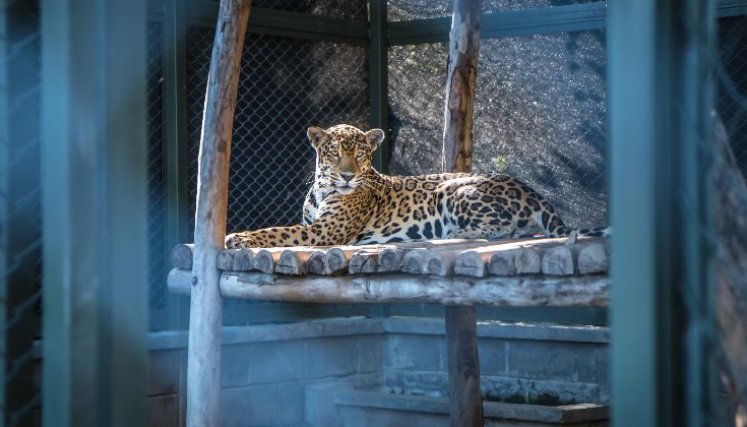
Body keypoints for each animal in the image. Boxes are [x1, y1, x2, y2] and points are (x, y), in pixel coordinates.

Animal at [225, 124, 608, 249]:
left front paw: (239, 237)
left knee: (506, 229)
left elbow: (277, 232)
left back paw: (453, 235)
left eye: (360, 154)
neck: (322, 188)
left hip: (454, 189)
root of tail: (532, 190)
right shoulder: (314, 225)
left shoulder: (324, 232)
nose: (347, 176)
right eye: (334, 152)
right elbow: (283, 228)